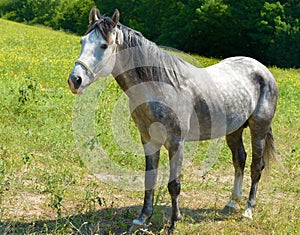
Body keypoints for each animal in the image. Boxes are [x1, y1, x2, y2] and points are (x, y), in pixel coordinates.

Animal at [68, 5, 278, 231]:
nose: (75, 80)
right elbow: (149, 179)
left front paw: (174, 223)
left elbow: (174, 184)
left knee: (256, 167)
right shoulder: (148, 140)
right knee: (239, 160)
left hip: (258, 130)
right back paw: (231, 202)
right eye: (82, 41)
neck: (160, 87)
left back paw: (248, 210)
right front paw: (142, 219)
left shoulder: (176, 142)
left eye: (104, 45)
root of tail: (262, 70)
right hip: (234, 130)